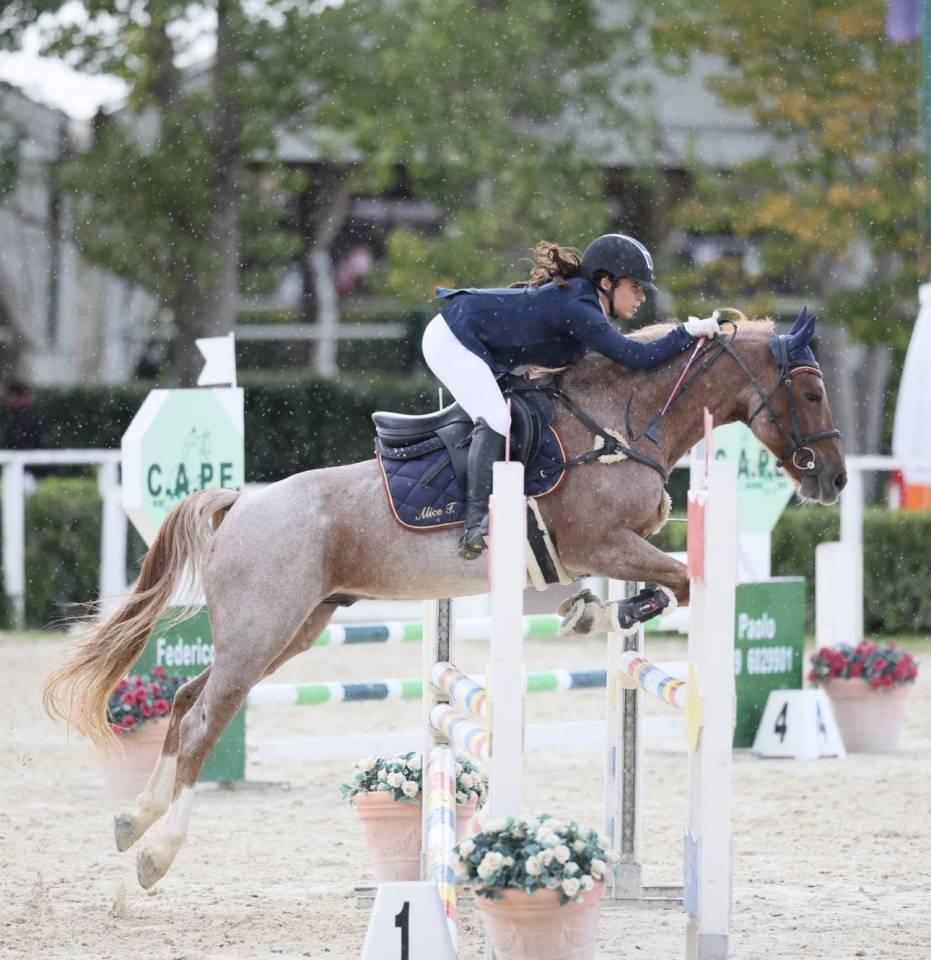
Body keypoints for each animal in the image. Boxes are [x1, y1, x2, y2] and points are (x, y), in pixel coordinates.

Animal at [44, 307, 845, 889]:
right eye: (811, 392)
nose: (832, 480)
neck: (620, 422)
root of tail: (242, 502)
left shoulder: (611, 547)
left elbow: (663, 581)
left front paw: (597, 609)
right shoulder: (600, 540)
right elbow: (679, 580)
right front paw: (612, 609)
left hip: (289, 630)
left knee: (185, 703)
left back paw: (133, 820)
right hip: (261, 630)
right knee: (206, 719)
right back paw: (156, 854)